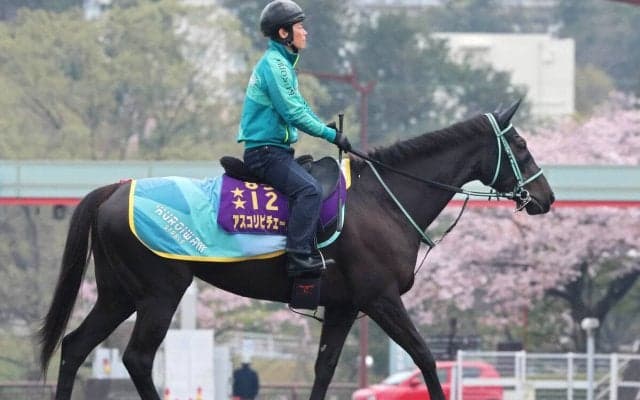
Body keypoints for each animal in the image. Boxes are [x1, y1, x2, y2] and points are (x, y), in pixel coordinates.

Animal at [39, 101, 554, 400]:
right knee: (138, 359)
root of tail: (116, 188)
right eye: (521, 144)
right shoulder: (381, 300)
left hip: (119, 294)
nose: (546, 197)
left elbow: (324, 371)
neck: (382, 200)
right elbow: (427, 358)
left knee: (75, 346)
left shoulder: (345, 308)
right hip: (159, 294)